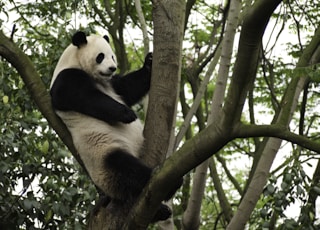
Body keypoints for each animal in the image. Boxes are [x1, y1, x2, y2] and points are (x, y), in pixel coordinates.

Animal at [49, 31, 180, 222]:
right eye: (100, 56)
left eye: (112, 56)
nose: (112, 68)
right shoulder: (67, 79)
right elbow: (87, 97)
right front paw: (127, 114)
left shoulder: (112, 85)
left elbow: (128, 88)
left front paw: (149, 62)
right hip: (102, 152)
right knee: (124, 169)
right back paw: (168, 186)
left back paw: (162, 211)